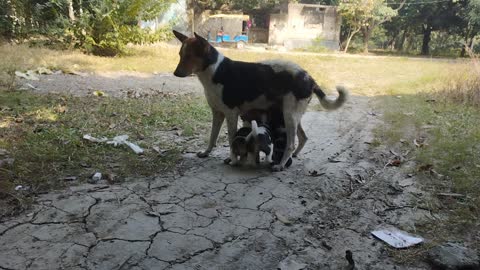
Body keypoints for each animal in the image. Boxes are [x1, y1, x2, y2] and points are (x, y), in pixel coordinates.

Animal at [172, 30, 348, 171]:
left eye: (190, 56)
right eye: (180, 55)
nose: (175, 74)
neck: (214, 71)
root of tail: (309, 78)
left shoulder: (231, 114)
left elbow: (230, 139)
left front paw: (232, 158)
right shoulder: (217, 114)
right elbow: (212, 137)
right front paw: (206, 152)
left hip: (290, 115)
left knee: (291, 143)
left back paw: (280, 164)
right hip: (292, 115)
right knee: (303, 137)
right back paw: (293, 157)